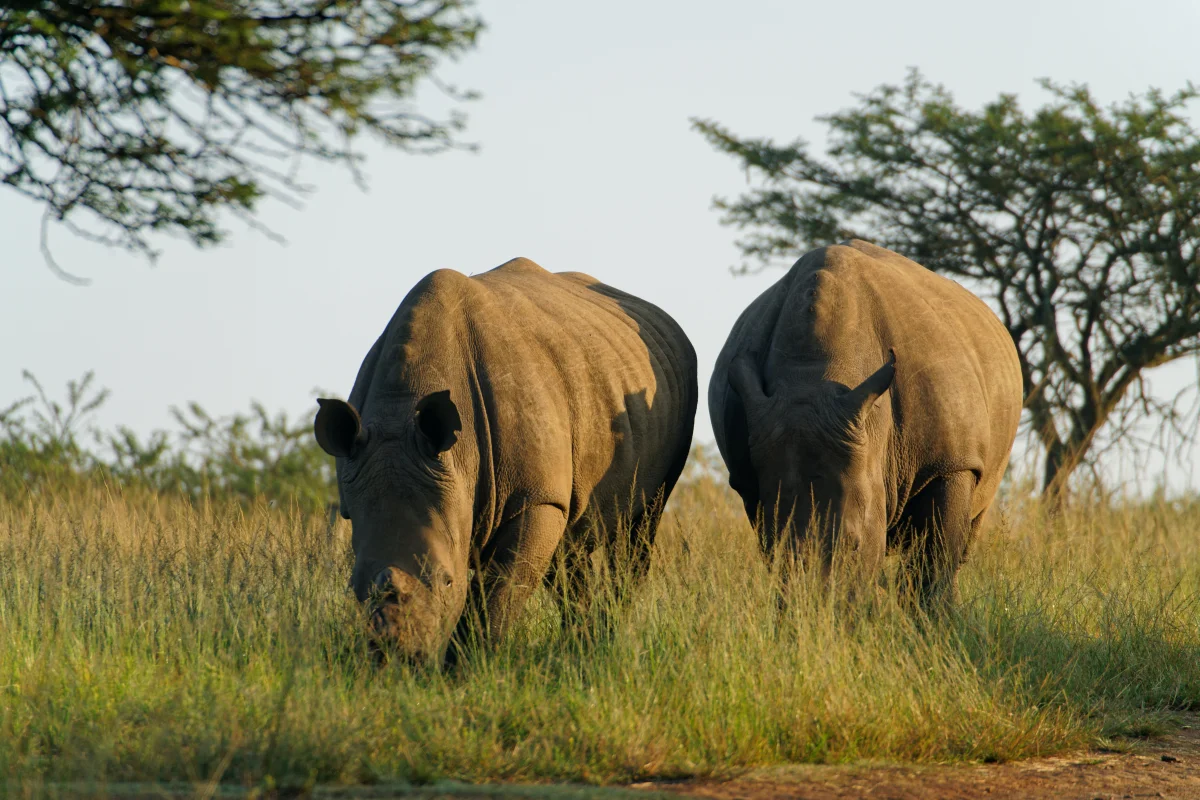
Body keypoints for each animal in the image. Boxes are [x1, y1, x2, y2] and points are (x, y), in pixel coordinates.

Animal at [314, 258, 697, 664]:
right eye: (354, 586)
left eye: (447, 581)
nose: (397, 658)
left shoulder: (534, 498)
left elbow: (496, 594)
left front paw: (466, 667)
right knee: (569, 545)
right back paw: (582, 645)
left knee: (642, 525)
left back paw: (606, 643)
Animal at [710, 240, 1022, 605]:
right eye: (774, 550)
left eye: (854, 546)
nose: (815, 611)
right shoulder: (749, 476)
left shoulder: (951, 463)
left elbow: (937, 558)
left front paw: (936, 618)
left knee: (960, 543)